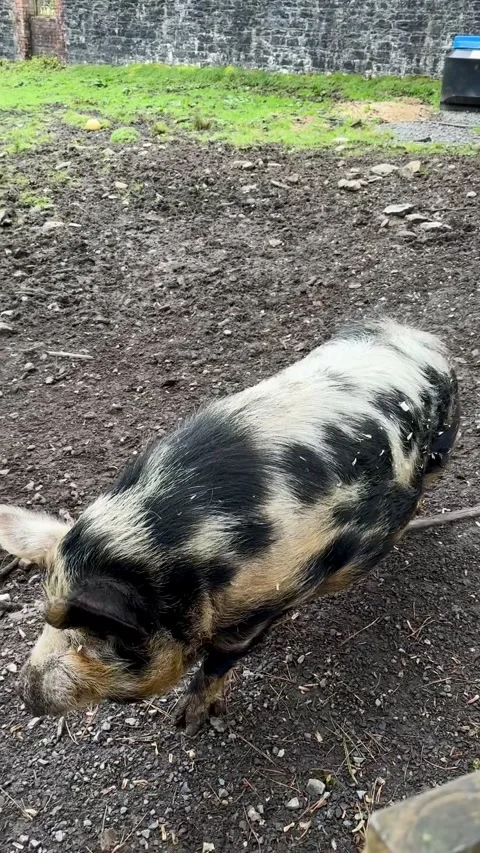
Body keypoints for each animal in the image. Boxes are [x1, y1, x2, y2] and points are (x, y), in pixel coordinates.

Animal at [0, 319, 459, 734]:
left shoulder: (261, 601)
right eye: (47, 618)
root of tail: (424, 338)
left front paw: (188, 724)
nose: (25, 694)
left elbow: (219, 660)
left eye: (94, 638)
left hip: (442, 445)